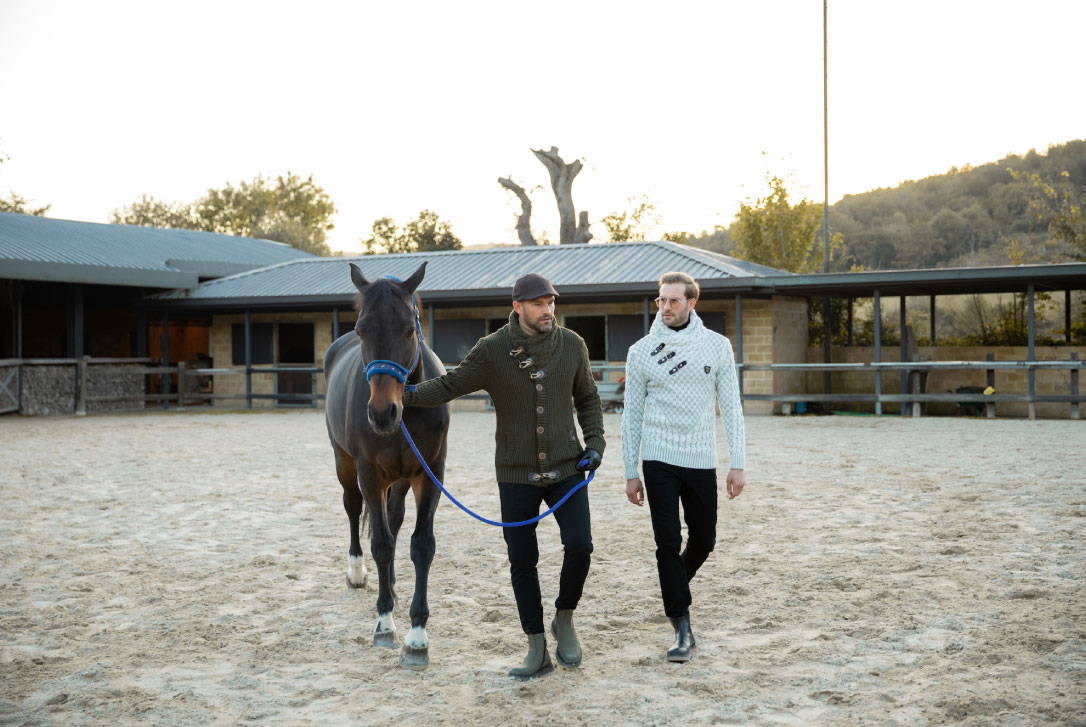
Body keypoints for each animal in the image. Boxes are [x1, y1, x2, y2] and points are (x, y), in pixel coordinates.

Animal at [323, 261, 450, 670]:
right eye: (362, 328)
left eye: (409, 329)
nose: (382, 413)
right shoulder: (369, 474)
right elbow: (380, 543)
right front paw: (384, 624)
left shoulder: (430, 473)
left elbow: (420, 545)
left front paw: (417, 636)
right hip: (345, 464)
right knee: (353, 509)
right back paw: (358, 573)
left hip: (401, 478)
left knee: (394, 520)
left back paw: (391, 585)